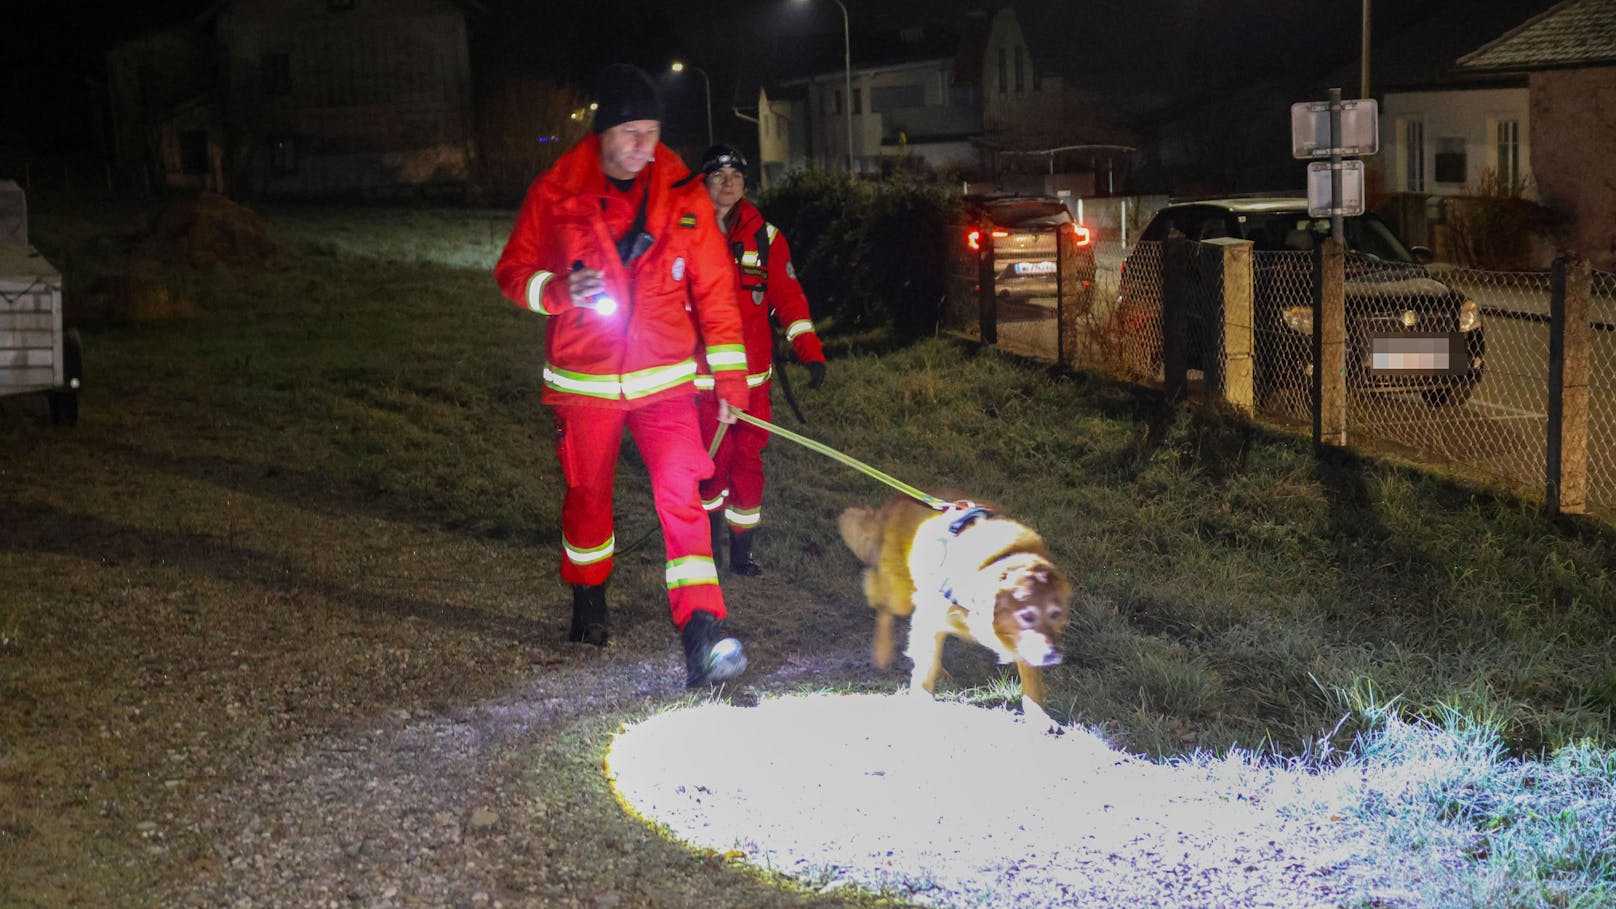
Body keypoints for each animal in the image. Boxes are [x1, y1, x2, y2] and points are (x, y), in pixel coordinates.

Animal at [833, 491, 1073, 711]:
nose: (1053, 655)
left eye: (1055, 614)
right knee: (883, 606)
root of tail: (897, 500)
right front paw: (921, 695)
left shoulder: (1020, 640)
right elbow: (925, 661)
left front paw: (1038, 715)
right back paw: (883, 652)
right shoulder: (930, 617)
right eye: (1027, 615)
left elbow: (1031, 680)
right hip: (899, 591)